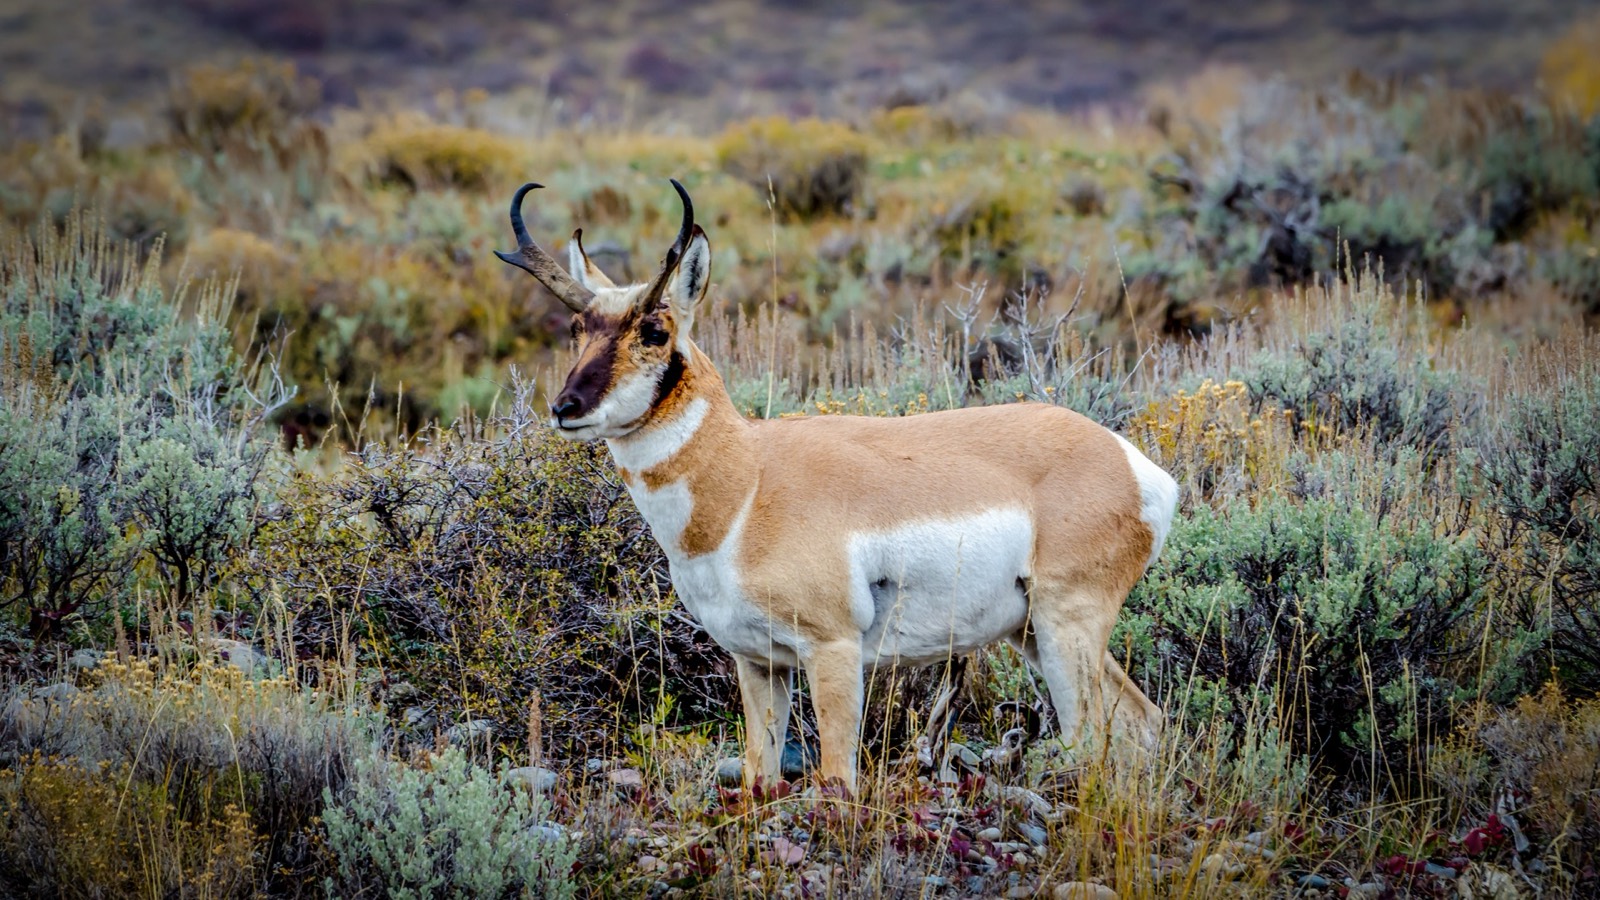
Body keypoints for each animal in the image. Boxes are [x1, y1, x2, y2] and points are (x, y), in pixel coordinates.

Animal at [495, 180, 1177, 791]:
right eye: (578, 327)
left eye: (655, 331)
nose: (566, 407)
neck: (747, 482)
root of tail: (1134, 464)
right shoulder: (757, 663)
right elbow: (760, 775)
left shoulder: (833, 653)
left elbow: (836, 781)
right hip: (1031, 633)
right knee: (1141, 724)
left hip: (1065, 627)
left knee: (1095, 735)